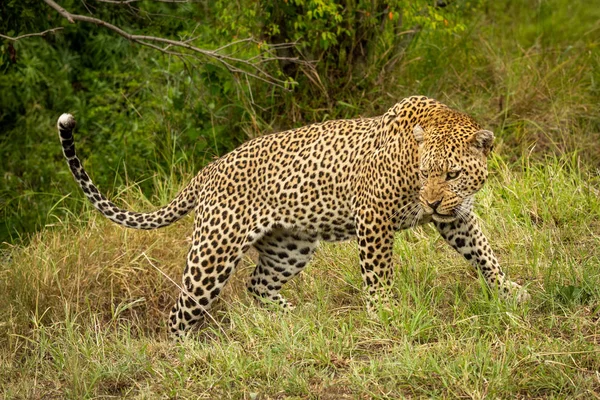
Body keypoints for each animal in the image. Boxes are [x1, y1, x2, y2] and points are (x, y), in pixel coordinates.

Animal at [55, 95, 524, 336]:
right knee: (181, 311)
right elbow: (378, 274)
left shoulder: (455, 216)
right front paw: (384, 314)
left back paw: (295, 318)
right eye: (426, 172)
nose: (430, 203)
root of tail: (208, 169)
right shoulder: (374, 218)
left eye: (453, 174)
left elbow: (483, 252)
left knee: (257, 285)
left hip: (290, 247)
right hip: (213, 253)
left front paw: (509, 291)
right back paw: (184, 354)